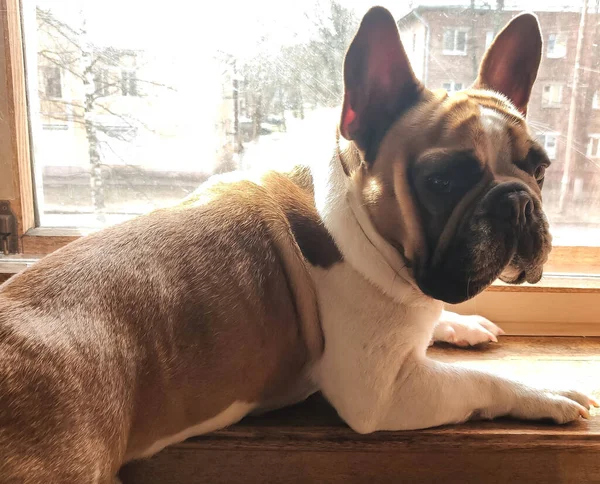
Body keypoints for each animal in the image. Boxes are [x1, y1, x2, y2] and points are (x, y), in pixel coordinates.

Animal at [0, 5, 596, 482]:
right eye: (442, 181)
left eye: (540, 170)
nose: (518, 201)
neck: (358, 221)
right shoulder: (385, 394)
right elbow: (481, 382)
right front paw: (545, 393)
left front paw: (461, 324)